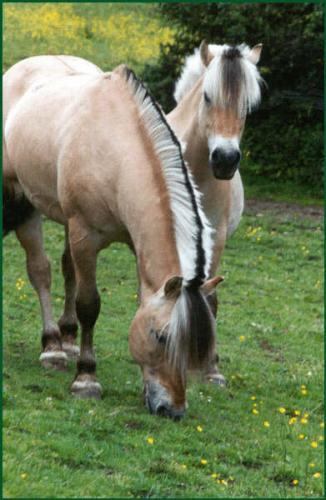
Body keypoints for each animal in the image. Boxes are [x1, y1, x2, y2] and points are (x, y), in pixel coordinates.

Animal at [2, 55, 223, 418]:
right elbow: (89, 304)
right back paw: (52, 347)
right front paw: (86, 380)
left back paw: (67, 341)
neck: (115, 150)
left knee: (66, 271)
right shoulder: (85, 236)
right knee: (40, 272)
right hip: (26, 203)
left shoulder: (132, 244)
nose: (173, 410)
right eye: (160, 337)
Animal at [167, 41, 264, 380]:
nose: (225, 159)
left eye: (248, 104)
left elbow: (209, 294)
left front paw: (211, 368)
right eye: (208, 97)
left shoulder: (215, 239)